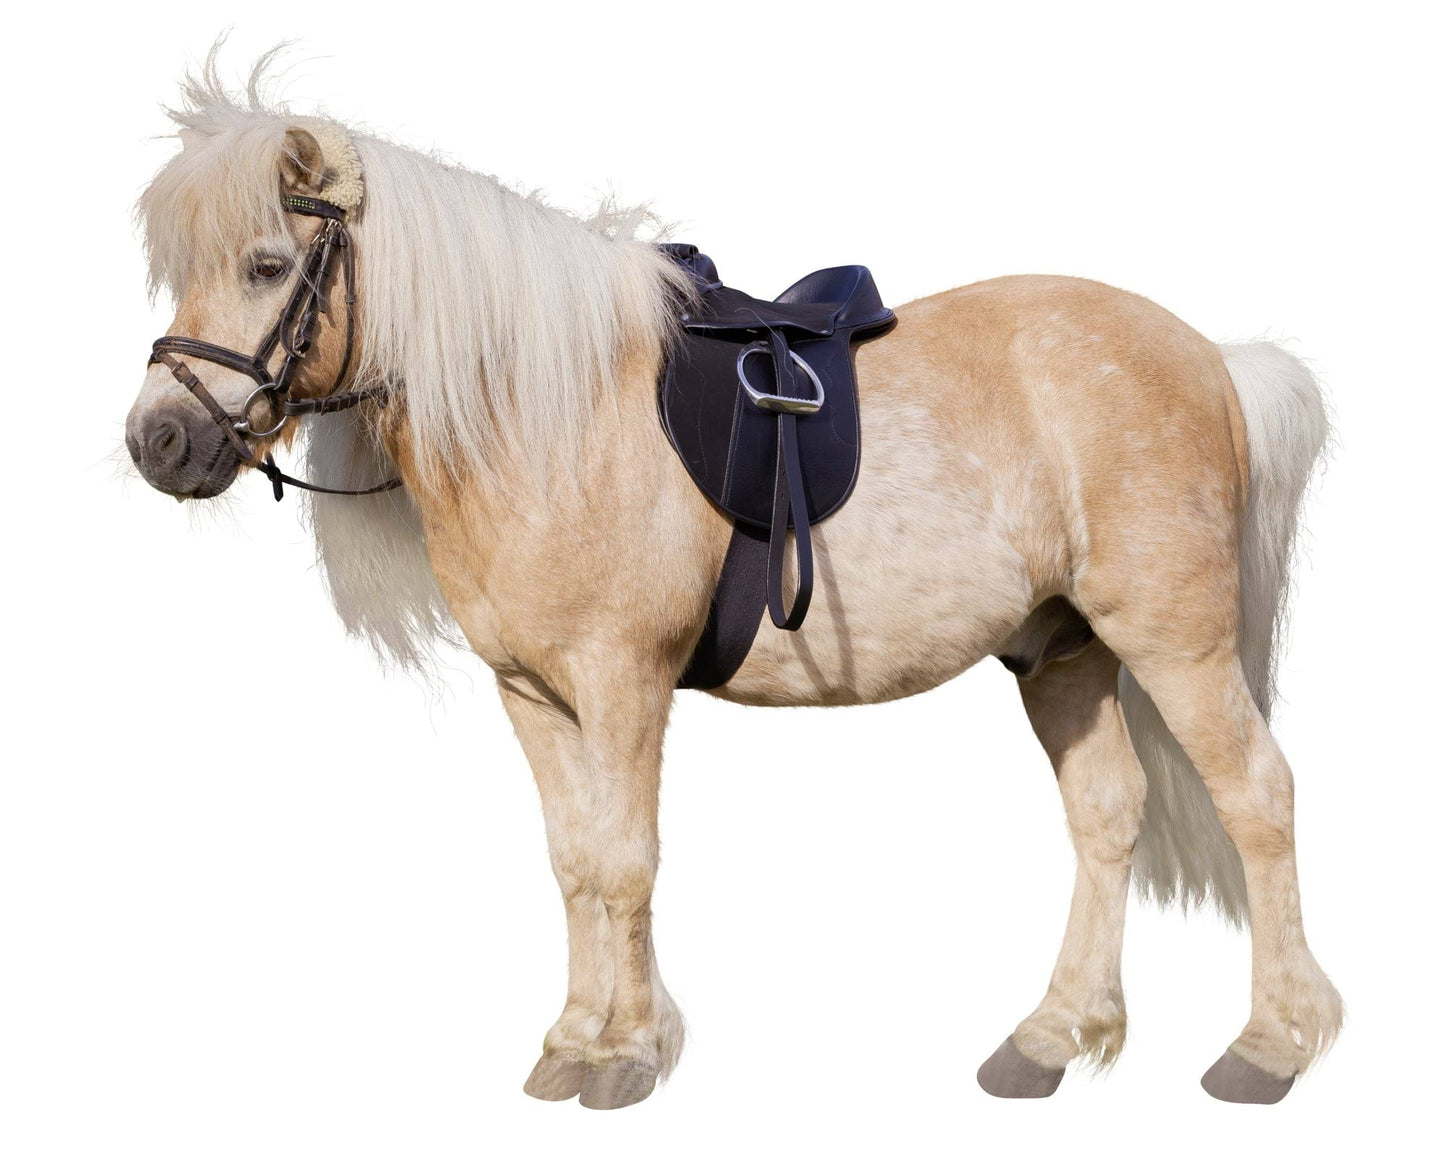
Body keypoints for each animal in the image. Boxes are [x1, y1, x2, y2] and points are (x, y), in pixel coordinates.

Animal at [124, 54, 1341, 1109]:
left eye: (267, 265)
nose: (159, 442)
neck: (547, 410)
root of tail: (1214, 360)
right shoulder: (531, 693)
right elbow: (573, 862)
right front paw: (575, 1040)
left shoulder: (621, 680)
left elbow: (624, 862)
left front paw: (622, 1057)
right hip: (1062, 650)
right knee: (1105, 814)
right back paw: (1047, 1039)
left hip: (1174, 642)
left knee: (1258, 796)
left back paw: (1269, 1047)